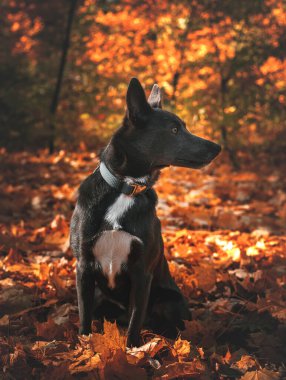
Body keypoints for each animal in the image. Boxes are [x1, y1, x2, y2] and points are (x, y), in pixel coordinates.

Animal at [70, 78, 221, 348]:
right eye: (174, 130)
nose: (218, 147)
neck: (127, 187)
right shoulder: (84, 268)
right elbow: (84, 316)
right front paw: (85, 346)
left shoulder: (142, 273)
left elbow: (135, 320)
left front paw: (133, 350)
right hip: (100, 296)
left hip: (168, 300)